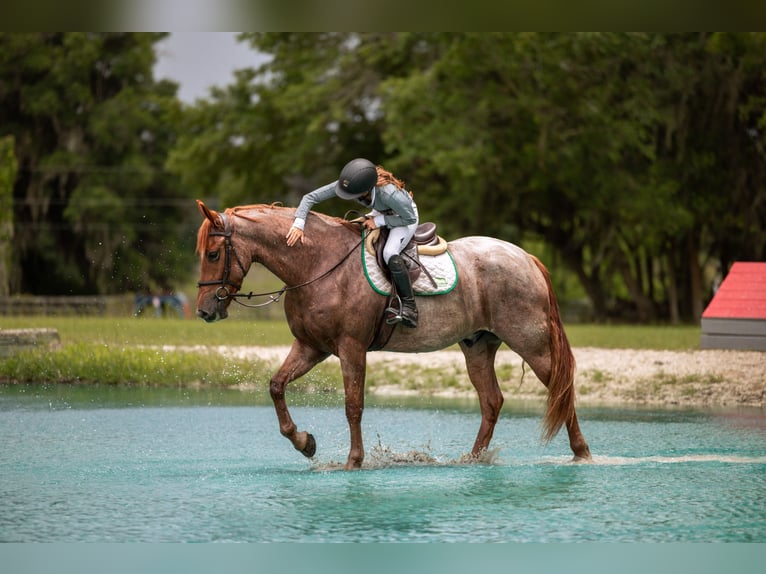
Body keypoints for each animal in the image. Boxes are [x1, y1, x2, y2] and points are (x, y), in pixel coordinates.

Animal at [195, 200, 591, 469]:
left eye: (213, 254)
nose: (204, 312)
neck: (318, 264)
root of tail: (526, 256)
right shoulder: (311, 347)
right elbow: (276, 386)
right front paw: (304, 442)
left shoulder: (351, 348)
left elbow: (353, 405)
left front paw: (354, 460)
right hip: (477, 346)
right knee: (491, 401)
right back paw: (471, 460)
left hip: (531, 343)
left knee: (560, 388)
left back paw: (582, 453)